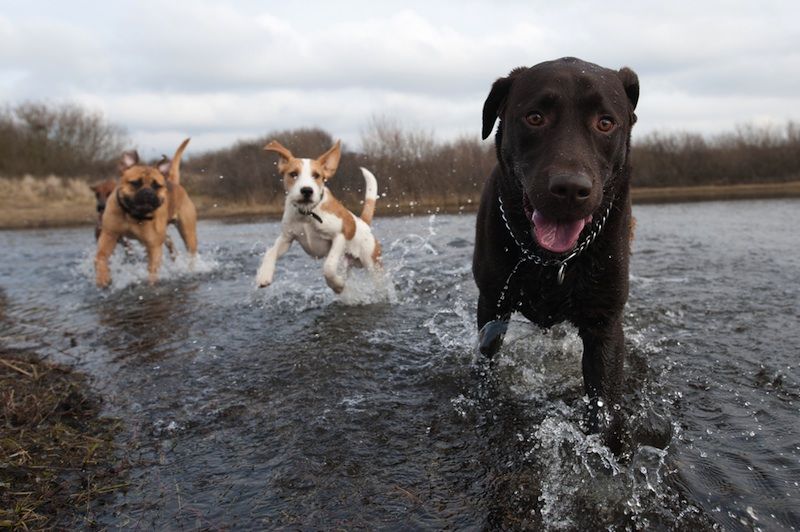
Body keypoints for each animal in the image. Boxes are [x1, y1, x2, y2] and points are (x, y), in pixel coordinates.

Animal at [94, 137, 198, 286]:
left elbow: (152, 271)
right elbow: (101, 257)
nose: (148, 193)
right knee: (171, 244)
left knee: (191, 252)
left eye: (157, 186)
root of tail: (174, 182)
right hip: (165, 235)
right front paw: (103, 278)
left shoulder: (154, 246)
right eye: (135, 183)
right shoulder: (109, 235)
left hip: (188, 233)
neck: (133, 215)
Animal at [256, 139, 382, 294]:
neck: (307, 213)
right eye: (293, 174)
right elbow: (270, 252)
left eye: (316, 175)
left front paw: (337, 285)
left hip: (372, 264)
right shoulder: (287, 238)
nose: (306, 190)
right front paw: (264, 275)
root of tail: (363, 223)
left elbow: (328, 267)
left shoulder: (339, 236)